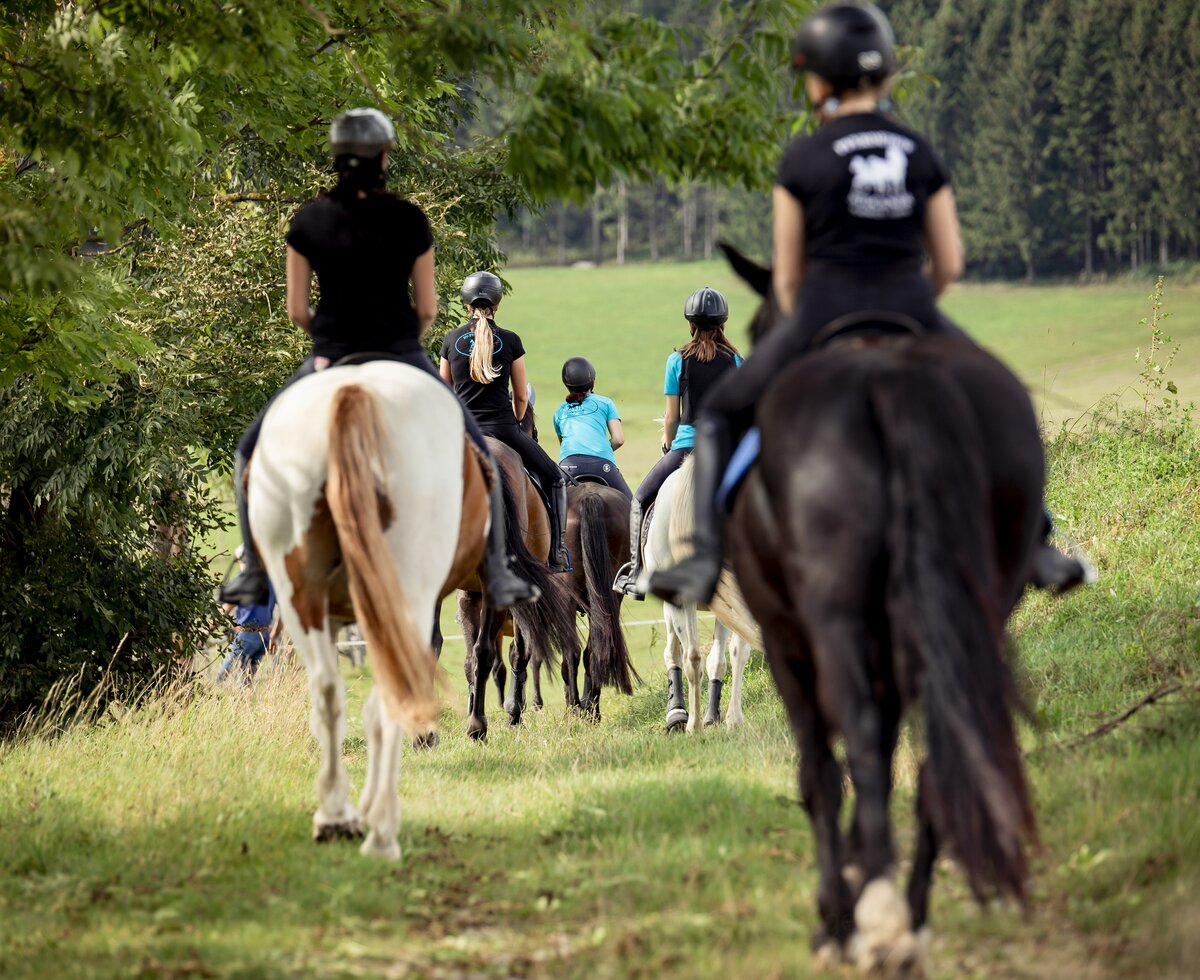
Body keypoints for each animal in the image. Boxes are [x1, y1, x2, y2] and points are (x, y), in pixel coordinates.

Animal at [720, 248, 1041, 969]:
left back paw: (876, 924)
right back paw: (910, 917)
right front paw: (867, 870)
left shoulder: (787, 642)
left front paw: (839, 910)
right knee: (943, 749)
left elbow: (820, 771)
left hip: (833, 620)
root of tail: (891, 378)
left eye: (757, 330)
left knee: (860, 749)